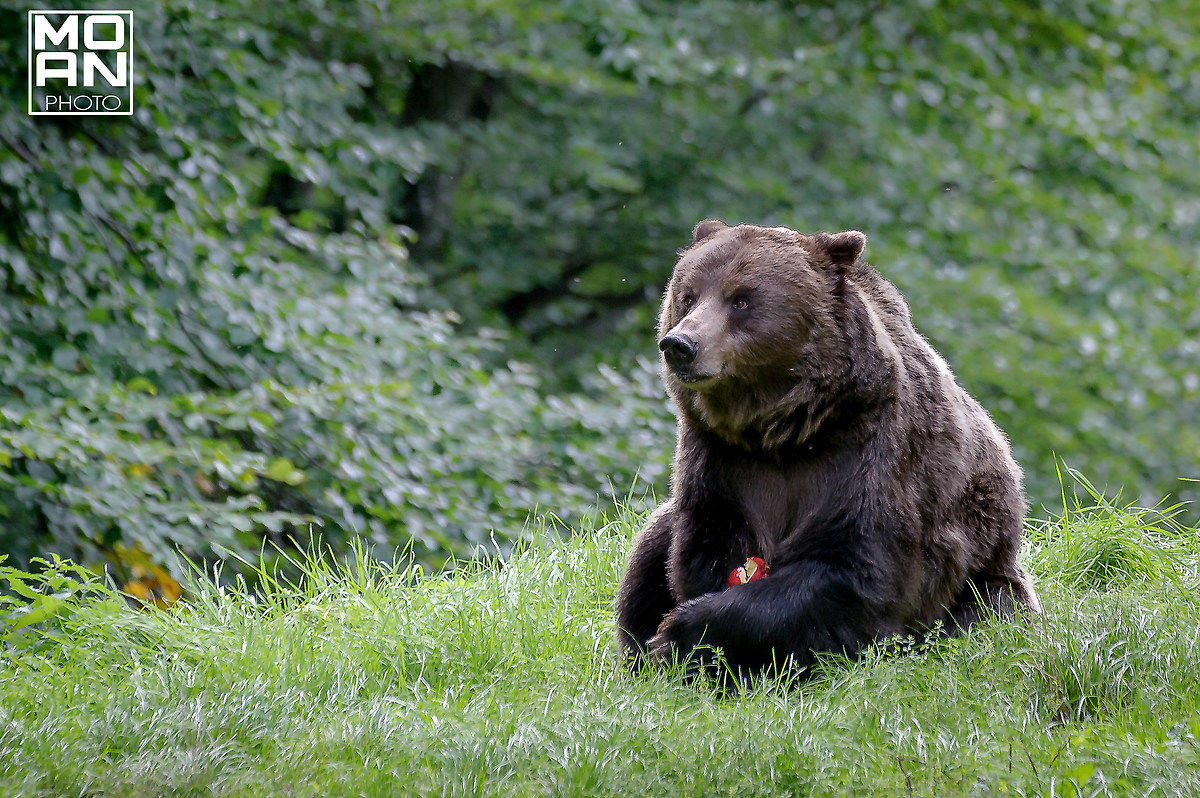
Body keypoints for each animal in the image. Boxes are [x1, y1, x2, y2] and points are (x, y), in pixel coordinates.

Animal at [615, 219, 1041, 679]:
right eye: (687, 295)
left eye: (741, 299)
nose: (680, 345)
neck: (780, 430)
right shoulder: (718, 459)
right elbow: (703, 549)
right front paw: (684, 650)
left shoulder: (872, 453)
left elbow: (851, 569)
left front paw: (684, 634)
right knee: (649, 550)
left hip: (986, 578)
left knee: (987, 613)